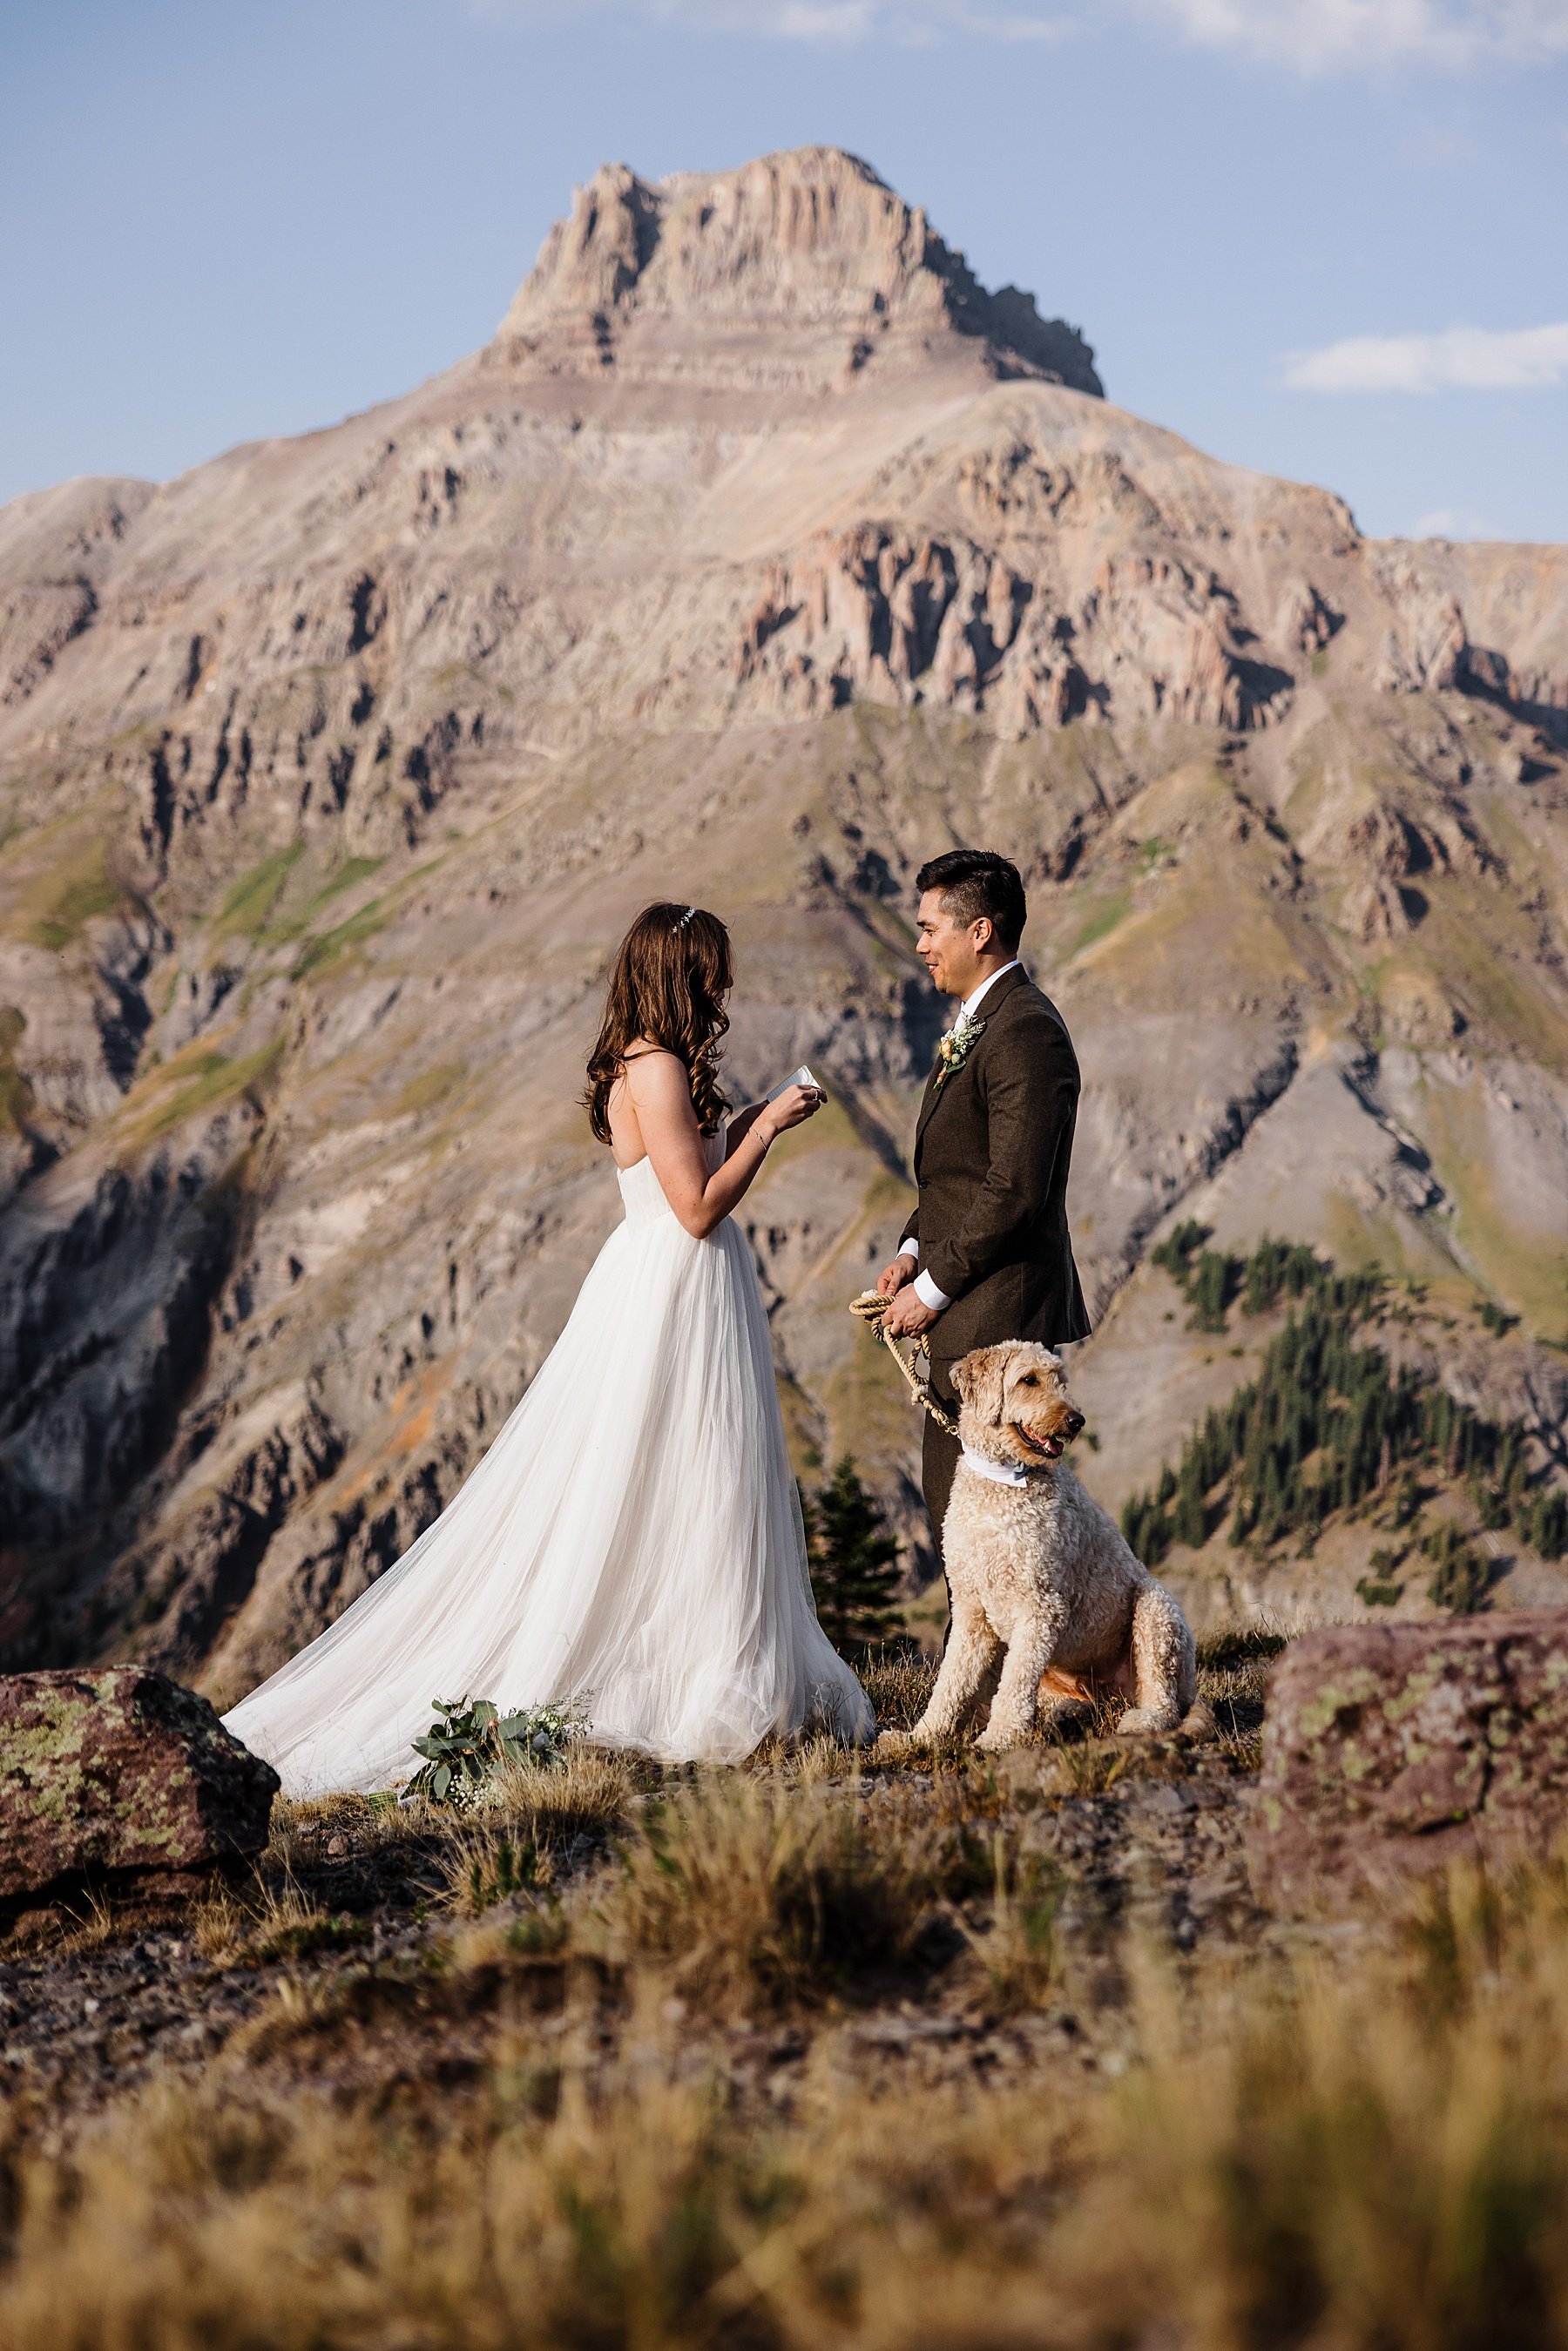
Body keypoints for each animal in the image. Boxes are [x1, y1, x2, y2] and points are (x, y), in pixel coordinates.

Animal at [893, 1344, 1213, 1749]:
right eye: (1028, 1379)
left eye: (1061, 1381)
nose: (1077, 1421)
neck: (1002, 1483)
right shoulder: (971, 1608)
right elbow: (951, 1680)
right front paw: (920, 1736)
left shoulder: (1040, 1605)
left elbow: (1014, 1683)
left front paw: (997, 1739)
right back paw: (1064, 1716)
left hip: (1156, 1613)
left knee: (1164, 1700)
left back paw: (1142, 1720)